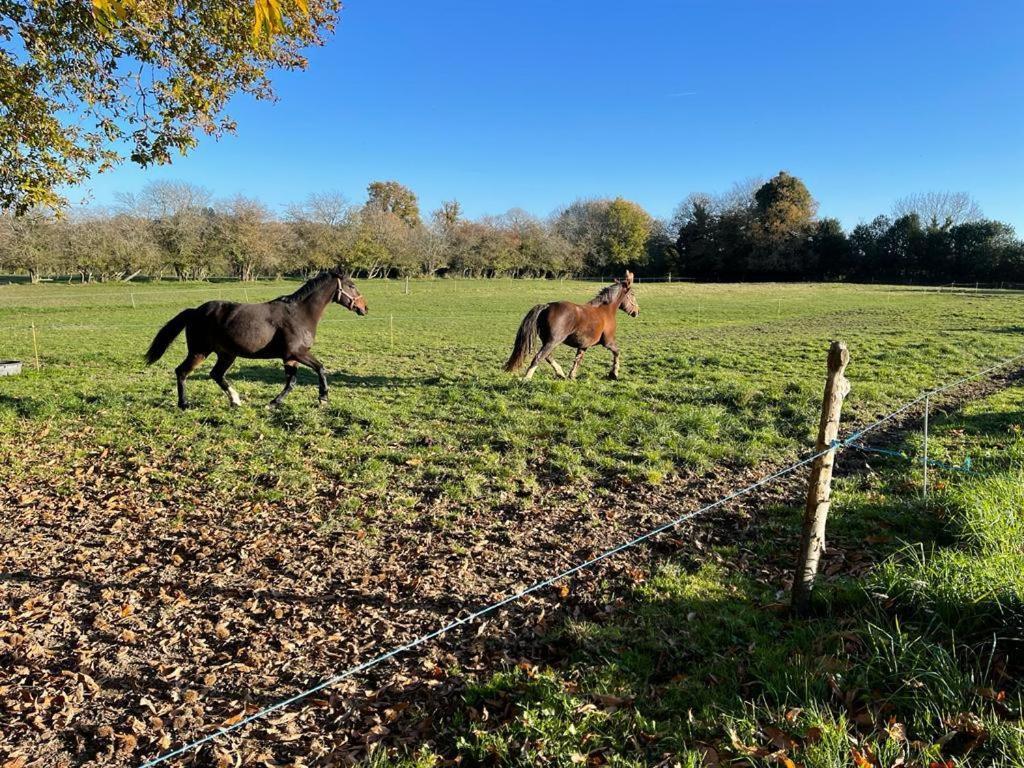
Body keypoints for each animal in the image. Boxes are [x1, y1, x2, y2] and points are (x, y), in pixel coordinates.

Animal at [142, 274, 368, 411]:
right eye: (352, 285)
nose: (364, 308)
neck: (299, 314)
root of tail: (195, 311)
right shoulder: (298, 353)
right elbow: (320, 368)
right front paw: (323, 398)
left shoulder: (289, 358)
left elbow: (291, 382)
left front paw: (273, 403)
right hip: (200, 352)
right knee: (182, 372)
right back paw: (184, 404)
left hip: (227, 354)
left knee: (216, 374)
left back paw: (235, 400)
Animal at [505, 270, 638, 382]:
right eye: (632, 294)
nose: (637, 312)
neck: (606, 310)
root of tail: (547, 306)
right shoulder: (608, 342)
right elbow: (617, 352)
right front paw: (614, 374)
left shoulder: (583, 346)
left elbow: (578, 360)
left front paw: (572, 376)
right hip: (553, 341)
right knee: (539, 357)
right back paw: (526, 378)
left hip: (548, 341)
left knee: (547, 356)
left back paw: (560, 373)